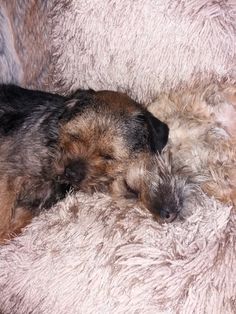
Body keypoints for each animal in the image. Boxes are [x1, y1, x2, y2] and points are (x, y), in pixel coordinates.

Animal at [0, 84, 175, 242]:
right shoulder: (9, 175)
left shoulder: (35, 202)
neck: (53, 147)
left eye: (108, 156)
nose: (70, 172)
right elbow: (4, 213)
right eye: (75, 136)